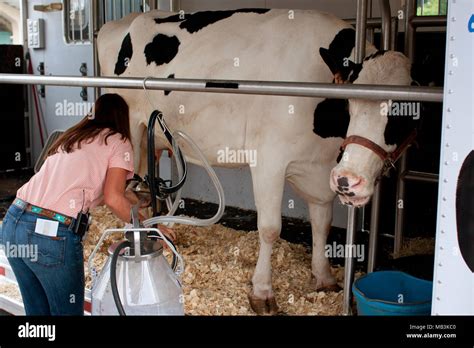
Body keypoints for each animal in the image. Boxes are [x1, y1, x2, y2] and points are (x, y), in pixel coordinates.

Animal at [97, 9, 414, 316]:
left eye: (404, 111)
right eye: (350, 103)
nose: (350, 181)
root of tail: (127, 19)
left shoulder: (319, 167)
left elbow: (321, 222)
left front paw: (323, 277)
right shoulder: (269, 158)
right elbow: (270, 228)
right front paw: (262, 292)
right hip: (130, 128)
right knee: (126, 187)